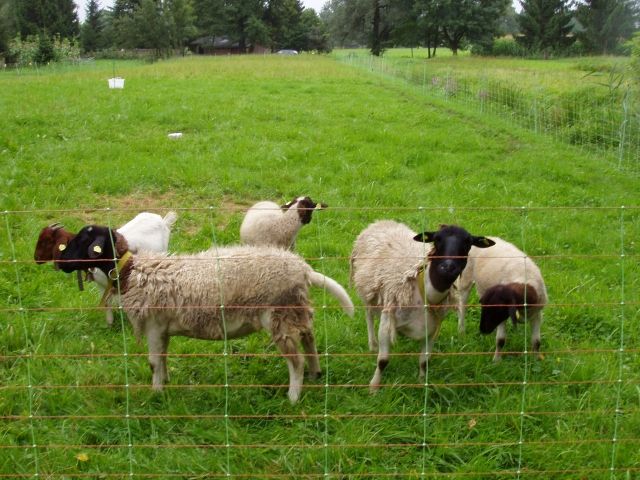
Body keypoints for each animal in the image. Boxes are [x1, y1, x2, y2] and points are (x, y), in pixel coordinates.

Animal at [34, 211, 178, 325]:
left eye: (45, 241)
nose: (36, 258)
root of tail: (163, 220)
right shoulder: (102, 285)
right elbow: (106, 303)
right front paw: (109, 324)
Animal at [58, 224, 355, 404]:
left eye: (81, 240)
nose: (59, 264)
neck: (132, 271)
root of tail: (303, 270)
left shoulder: (152, 324)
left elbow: (153, 361)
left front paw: (155, 394)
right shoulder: (162, 328)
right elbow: (163, 357)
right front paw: (165, 383)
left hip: (278, 315)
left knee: (296, 361)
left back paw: (293, 396)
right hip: (295, 310)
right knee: (309, 339)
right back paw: (316, 375)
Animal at [350, 220, 494, 391]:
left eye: (467, 243)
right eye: (437, 239)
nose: (448, 267)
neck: (425, 292)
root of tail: (381, 222)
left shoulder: (433, 329)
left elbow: (424, 361)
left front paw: (421, 382)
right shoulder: (387, 321)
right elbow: (383, 361)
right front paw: (373, 387)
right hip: (367, 291)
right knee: (369, 316)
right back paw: (372, 345)